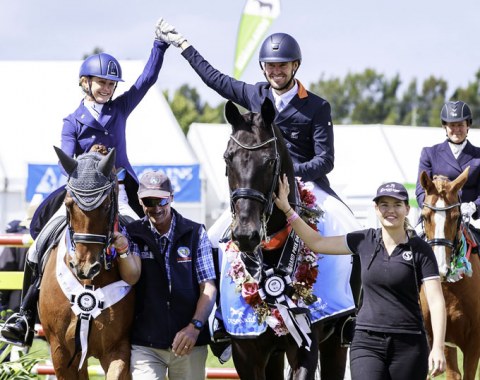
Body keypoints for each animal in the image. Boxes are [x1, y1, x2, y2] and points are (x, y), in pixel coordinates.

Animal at [218, 98, 356, 380]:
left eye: (270, 161)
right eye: (228, 158)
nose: (246, 235)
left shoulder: (305, 343)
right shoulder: (246, 354)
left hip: (335, 344)